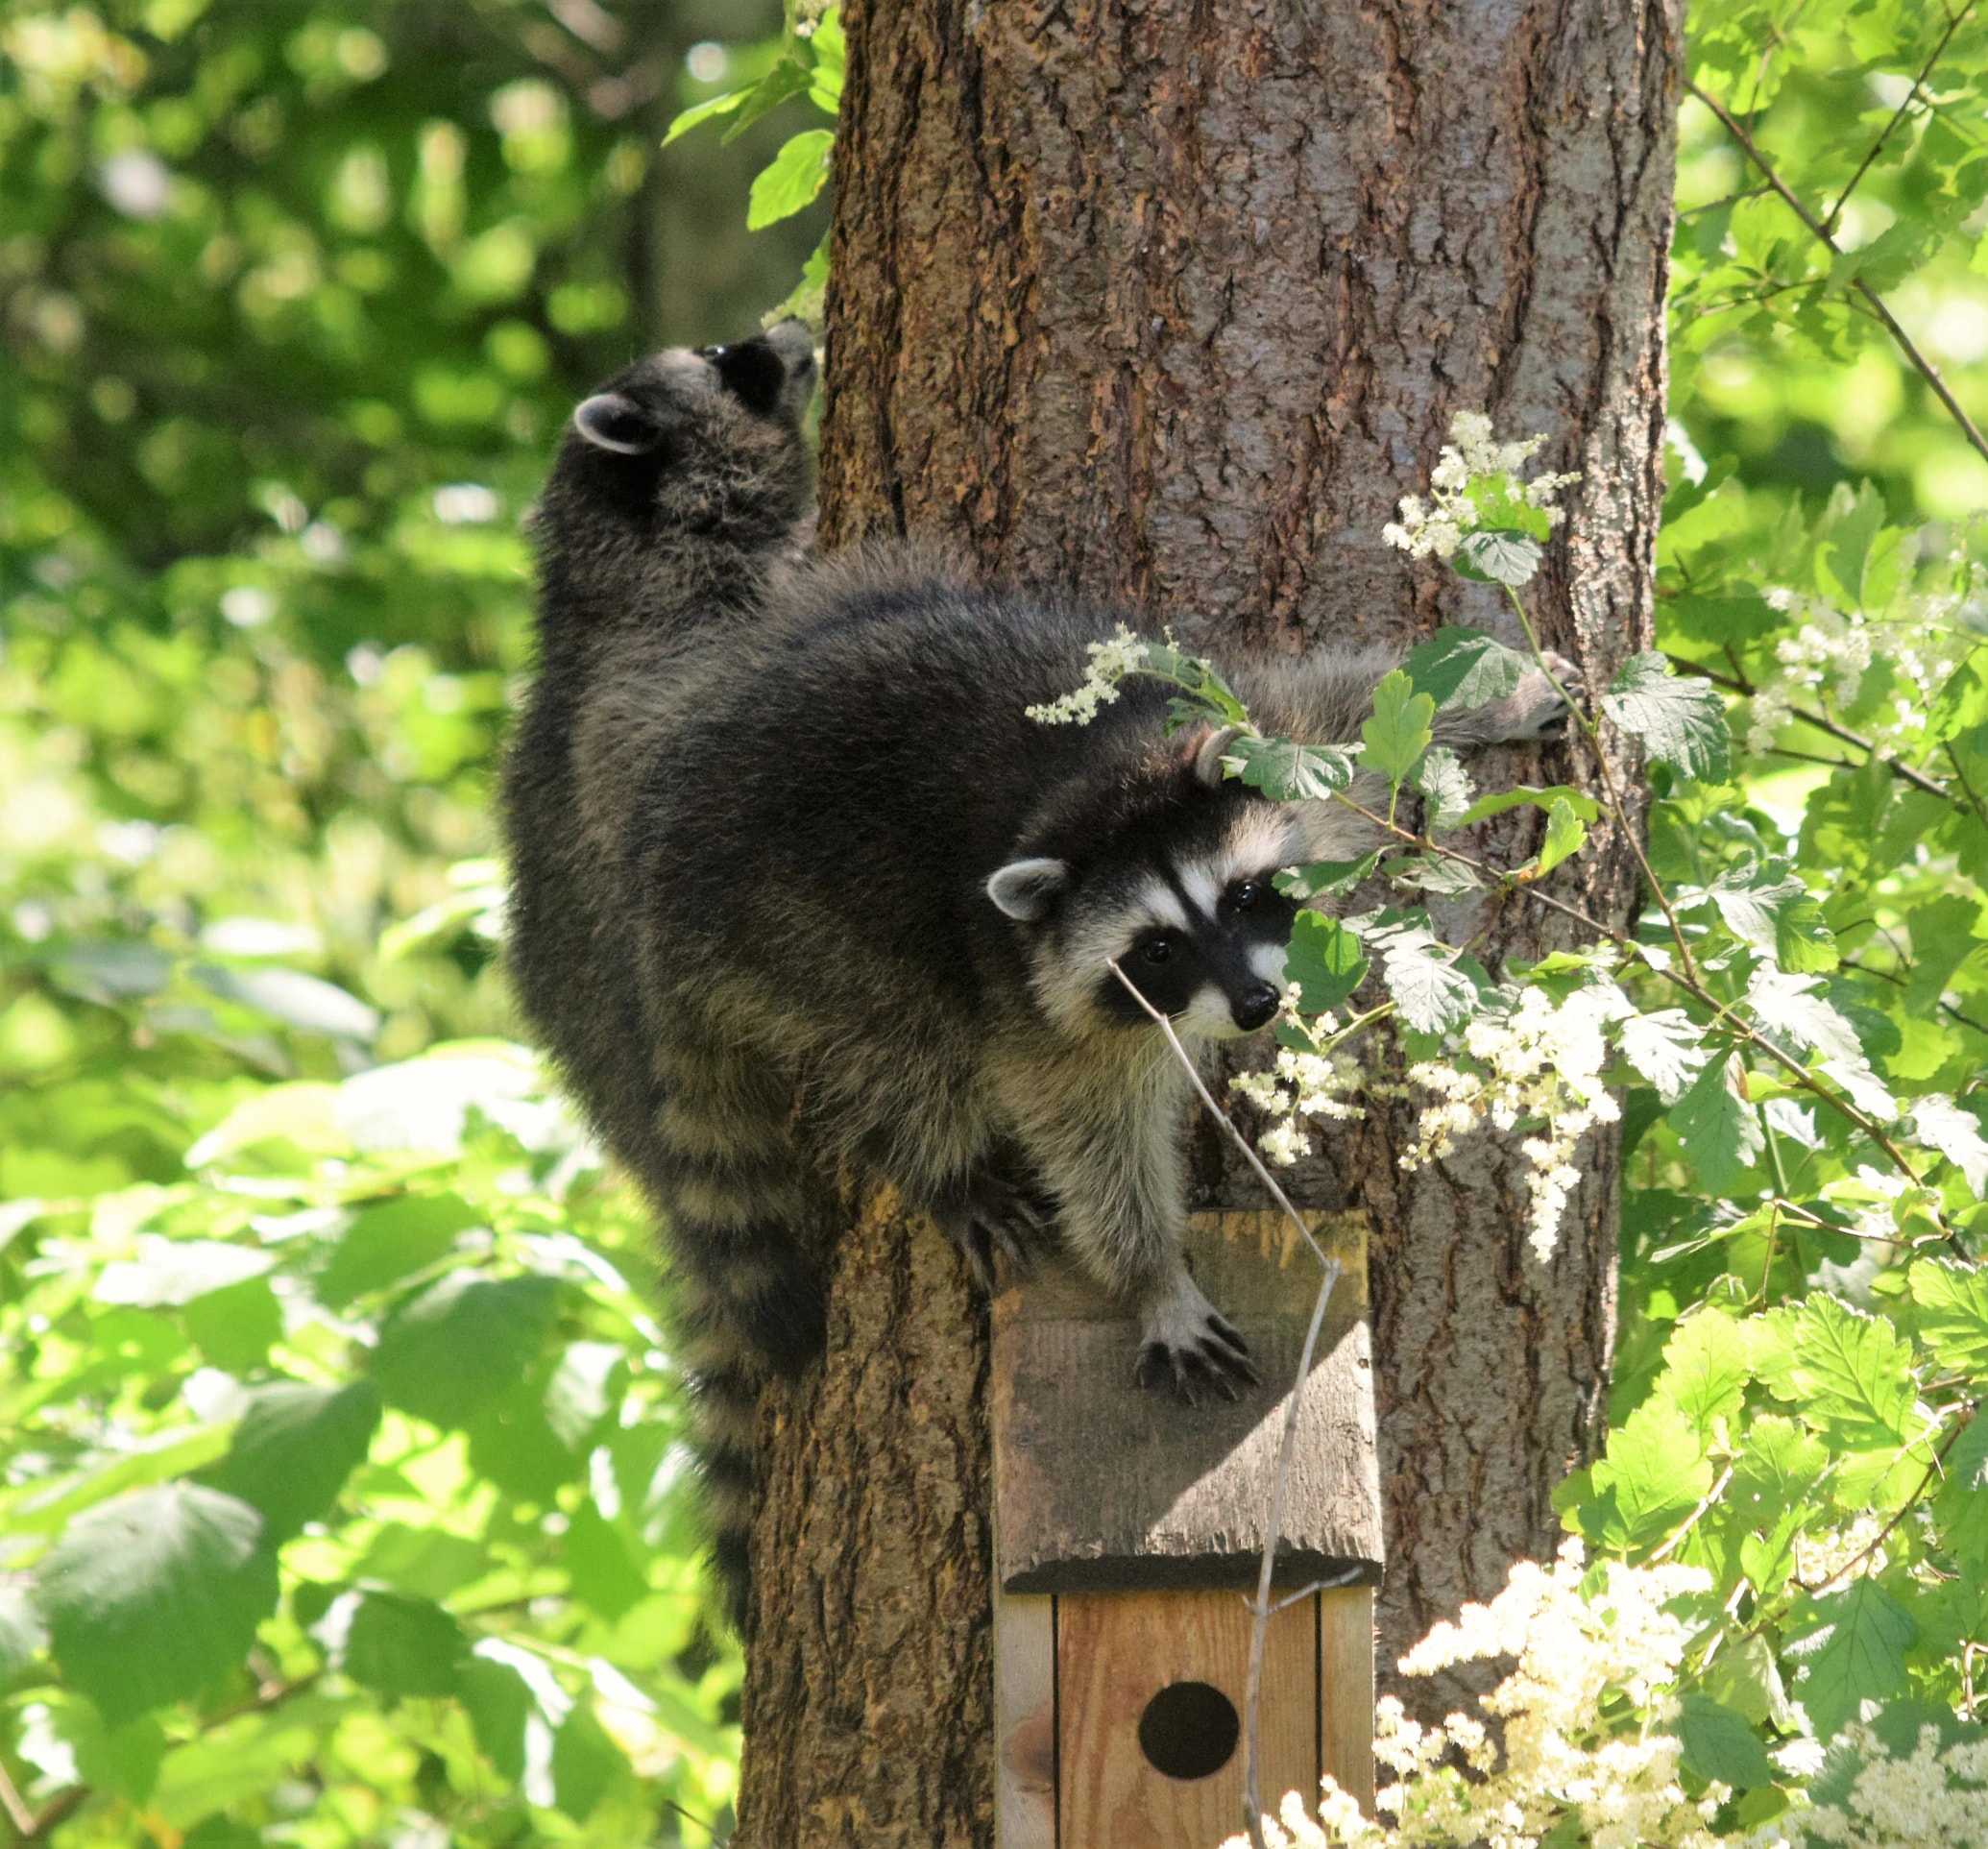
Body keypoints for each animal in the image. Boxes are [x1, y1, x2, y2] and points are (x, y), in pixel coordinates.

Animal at [503, 326, 1573, 1625]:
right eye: (1157, 950)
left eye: (1245, 900)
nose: (1258, 1004)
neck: (1089, 785)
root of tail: (665, 861)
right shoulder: (1031, 990)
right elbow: (1085, 1125)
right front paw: (1149, 1269)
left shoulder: (1263, 753)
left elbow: (1363, 712)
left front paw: (1495, 697)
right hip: (794, 932)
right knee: (890, 1044)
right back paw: (936, 1157)